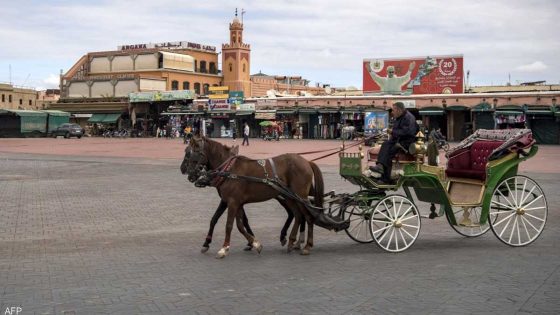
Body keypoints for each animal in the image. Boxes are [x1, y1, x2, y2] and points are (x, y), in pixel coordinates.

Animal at [182, 137, 324, 258]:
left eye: (192, 153)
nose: (188, 173)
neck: (230, 170)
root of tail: (306, 161)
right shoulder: (234, 202)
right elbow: (238, 224)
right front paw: (255, 243)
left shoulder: (233, 202)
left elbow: (229, 225)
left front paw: (224, 248)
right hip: (290, 197)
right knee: (298, 216)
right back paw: (291, 241)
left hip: (300, 196)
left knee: (308, 217)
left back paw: (306, 245)